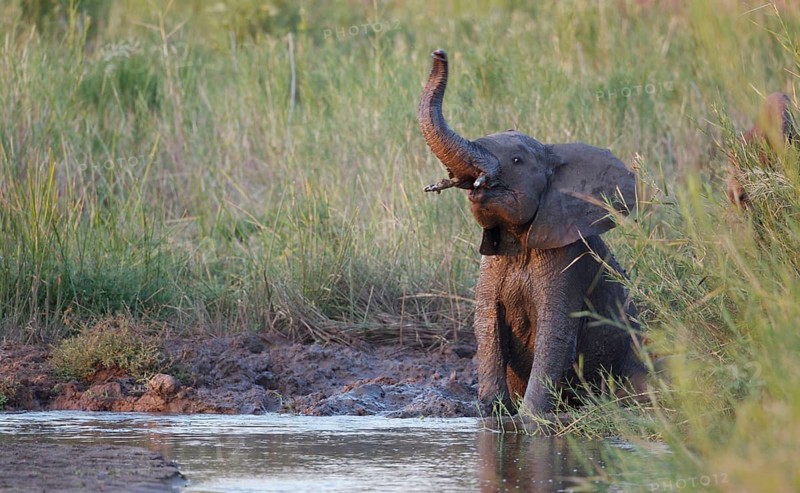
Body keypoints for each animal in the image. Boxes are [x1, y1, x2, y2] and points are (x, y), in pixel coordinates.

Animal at [418, 49, 647, 416]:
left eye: (516, 160)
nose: (439, 53)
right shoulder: (491, 265)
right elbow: (486, 325)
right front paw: (491, 414)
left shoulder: (569, 263)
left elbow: (554, 332)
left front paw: (529, 420)